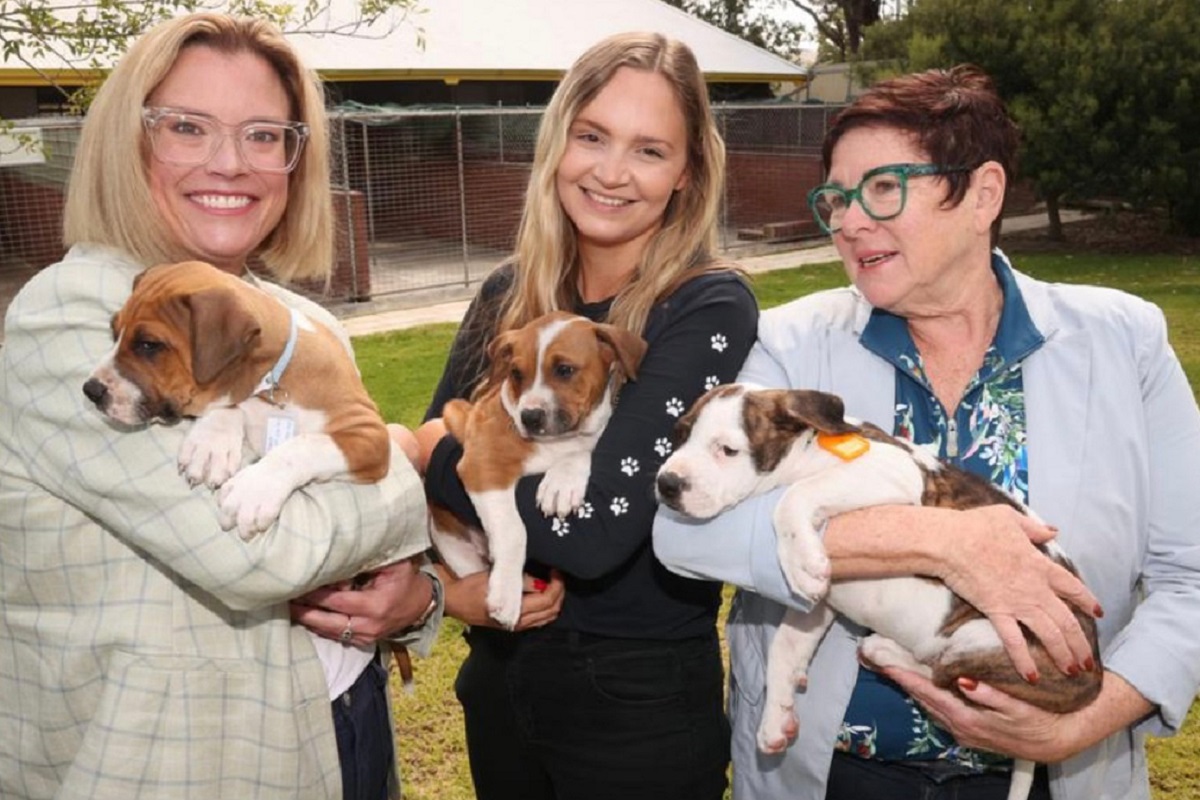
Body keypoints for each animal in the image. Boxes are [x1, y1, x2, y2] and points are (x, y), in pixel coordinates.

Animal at [85, 262, 393, 537]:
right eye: (114, 332)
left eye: (149, 345)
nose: (90, 390)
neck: (271, 379)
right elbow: (229, 407)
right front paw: (210, 446)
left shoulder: (369, 432)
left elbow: (304, 445)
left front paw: (254, 491)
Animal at [432, 311, 648, 633]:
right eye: (516, 374)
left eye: (565, 370)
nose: (530, 417)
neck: (554, 444)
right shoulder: (483, 464)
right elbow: (513, 530)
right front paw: (506, 596)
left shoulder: (592, 437)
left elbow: (581, 451)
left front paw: (561, 484)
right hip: (452, 546)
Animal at [652, 383, 1099, 800]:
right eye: (680, 435)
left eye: (728, 450)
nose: (667, 483)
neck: (806, 453)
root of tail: (1090, 680)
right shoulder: (819, 606)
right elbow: (784, 648)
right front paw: (776, 717)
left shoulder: (891, 471)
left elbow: (794, 498)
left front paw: (800, 559)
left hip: (990, 637)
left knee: (947, 675)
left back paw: (883, 650)